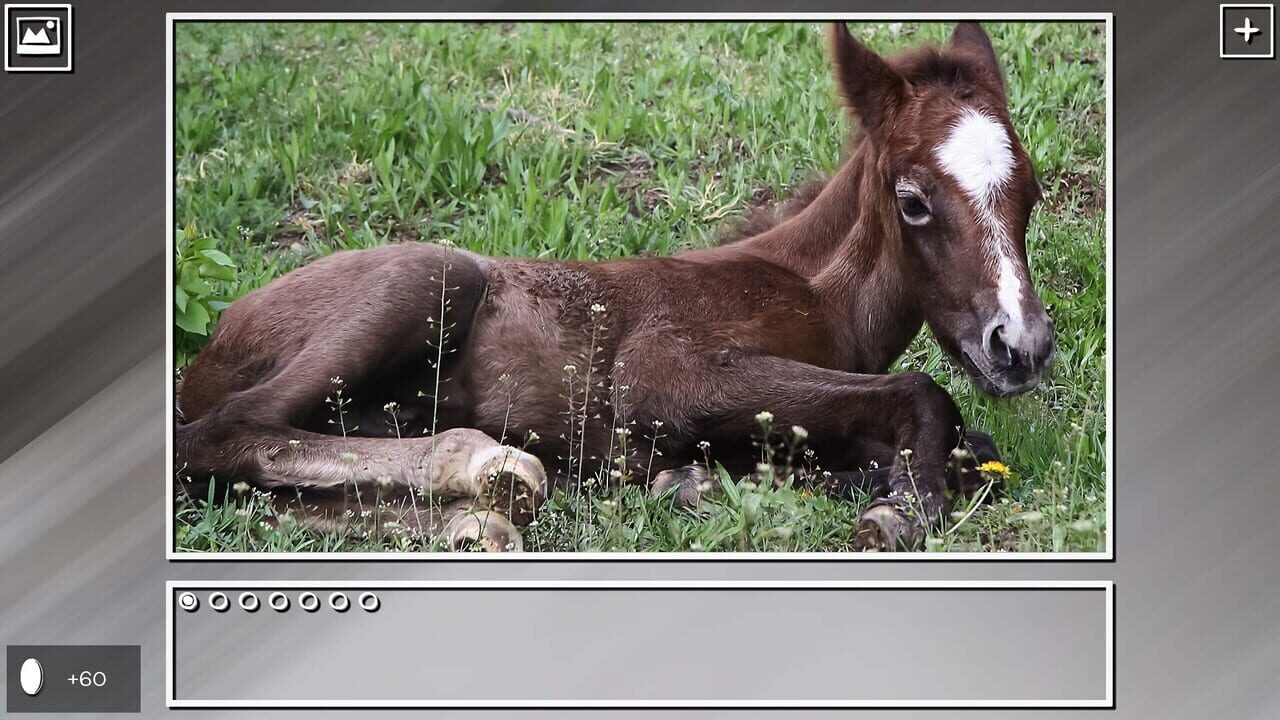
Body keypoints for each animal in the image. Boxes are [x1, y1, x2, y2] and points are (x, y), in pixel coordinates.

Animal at [174, 22, 1054, 552]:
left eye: (1032, 192)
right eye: (914, 200)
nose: (1021, 346)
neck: (815, 291)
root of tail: (210, 347)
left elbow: (974, 448)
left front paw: (705, 480)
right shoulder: (660, 372)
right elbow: (926, 397)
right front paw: (897, 507)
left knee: (249, 485)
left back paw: (477, 518)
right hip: (430, 276)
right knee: (222, 436)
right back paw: (489, 468)